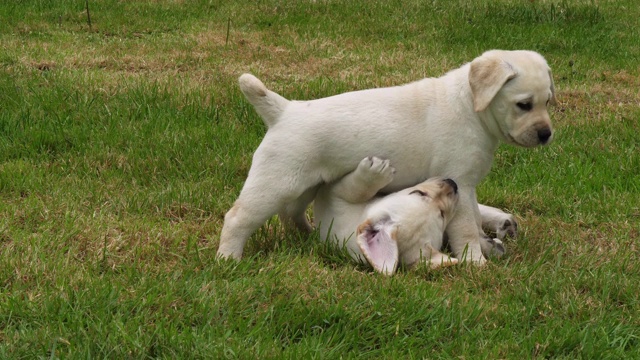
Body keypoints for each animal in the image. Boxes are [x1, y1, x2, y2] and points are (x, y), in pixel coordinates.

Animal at [219, 49, 556, 262]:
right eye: (524, 105)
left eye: (547, 102)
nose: (546, 134)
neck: (470, 105)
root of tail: (284, 110)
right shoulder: (460, 180)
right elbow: (466, 230)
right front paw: (476, 262)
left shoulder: (467, 186)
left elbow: (473, 217)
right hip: (275, 183)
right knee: (238, 218)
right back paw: (228, 259)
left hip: (305, 184)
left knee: (291, 214)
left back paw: (308, 235)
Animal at [316, 155, 460, 276]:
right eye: (419, 193)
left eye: (443, 215)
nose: (453, 184)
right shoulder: (336, 197)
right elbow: (357, 191)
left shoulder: (336, 196)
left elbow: (355, 190)